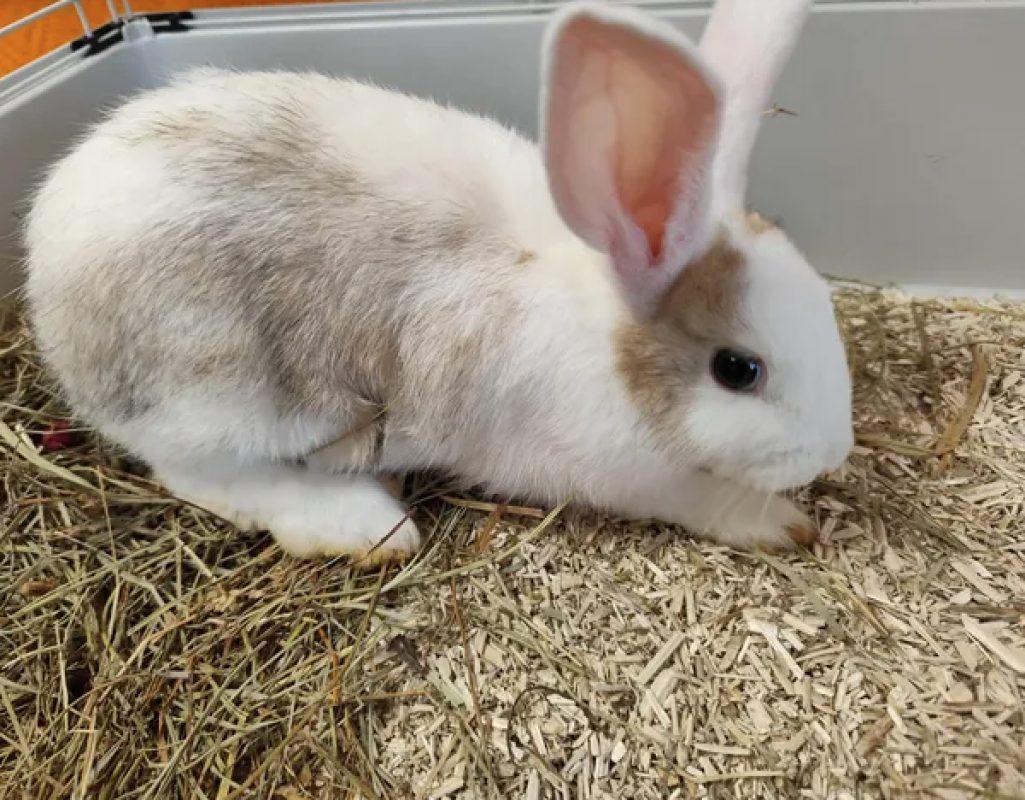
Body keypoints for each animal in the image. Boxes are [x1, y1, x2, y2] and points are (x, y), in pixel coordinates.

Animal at [23, 0, 853, 563]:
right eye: (738, 370)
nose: (835, 452)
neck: (608, 330)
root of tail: (44, 268)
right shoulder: (621, 473)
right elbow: (699, 495)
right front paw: (780, 522)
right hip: (216, 397)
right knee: (194, 472)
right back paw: (363, 522)